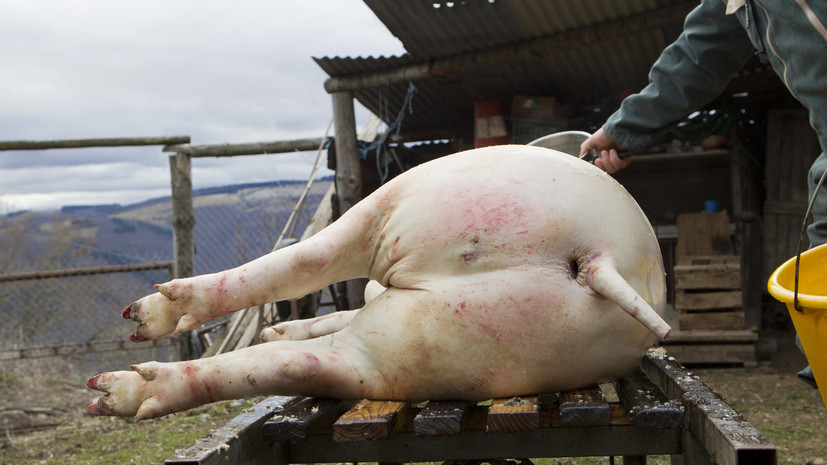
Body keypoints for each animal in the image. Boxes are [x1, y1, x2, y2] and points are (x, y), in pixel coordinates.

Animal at [85, 145, 668, 420]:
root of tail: (593, 256)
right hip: (436, 336)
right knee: (309, 328)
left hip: (393, 214)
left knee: (304, 280)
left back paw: (123, 377)